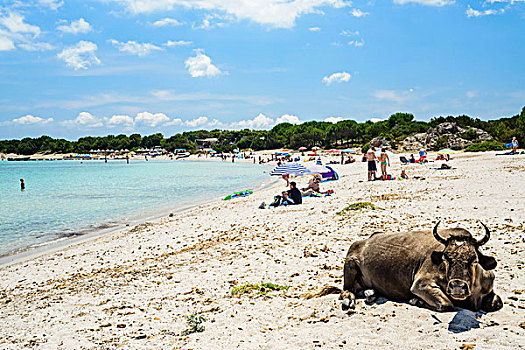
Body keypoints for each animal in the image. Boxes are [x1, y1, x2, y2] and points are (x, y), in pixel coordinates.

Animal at [340, 221, 504, 312]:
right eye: (445, 259)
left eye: (474, 260)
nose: (457, 287)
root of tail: (362, 241)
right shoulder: (421, 284)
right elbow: (446, 303)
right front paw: (416, 301)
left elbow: (498, 303)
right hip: (350, 265)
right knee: (346, 290)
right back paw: (350, 299)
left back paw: (371, 293)